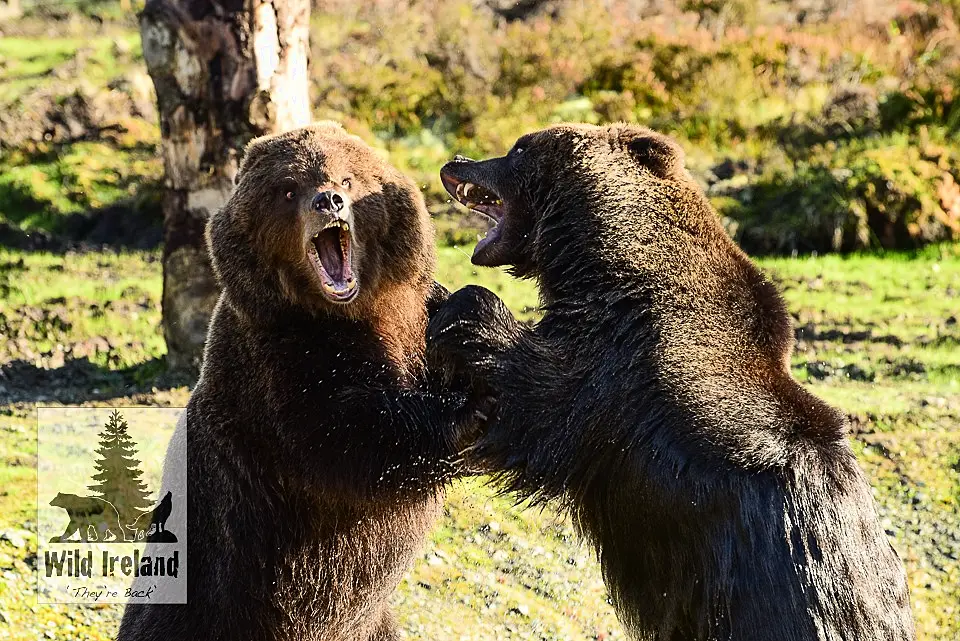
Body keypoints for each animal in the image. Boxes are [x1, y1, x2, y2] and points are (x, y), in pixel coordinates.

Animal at [119, 122, 476, 640]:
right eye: (289, 189)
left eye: (347, 178)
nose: (328, 201)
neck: (352, 312)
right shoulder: (276, 366)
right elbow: (342, 436)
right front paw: (467, 411)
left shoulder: (415, 317)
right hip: (216, 596)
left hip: (372, 624)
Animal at [428, 124, 916, 640]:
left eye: (520, 147)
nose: (457, 160)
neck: (605, 265)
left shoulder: (619, 373)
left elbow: (537, 402)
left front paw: (454, 305)